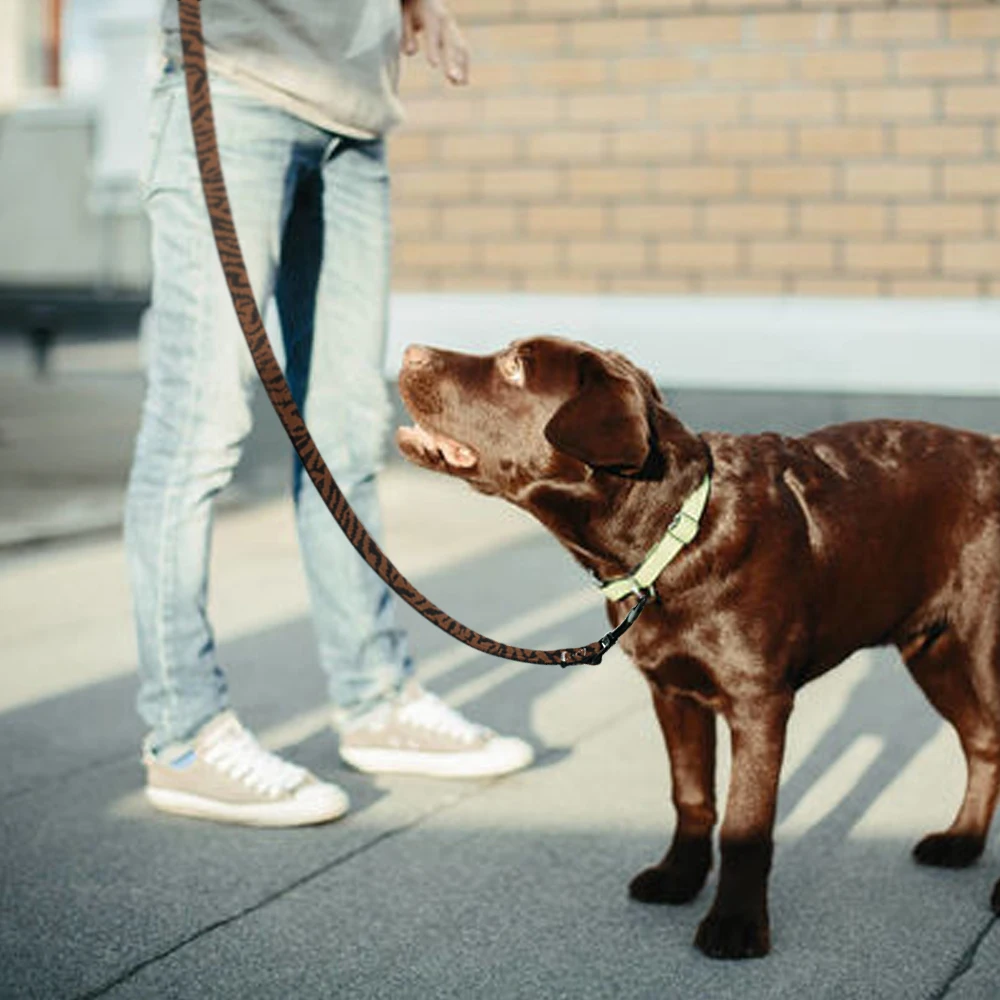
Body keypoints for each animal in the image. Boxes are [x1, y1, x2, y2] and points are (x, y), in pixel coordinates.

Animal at [396, 338, 1000, 960]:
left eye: (515, 367)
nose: (411, 351)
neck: (673, 533)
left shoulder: (759, 703)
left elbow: (745, 823)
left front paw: (736, 925)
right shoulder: (672, 690)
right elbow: (691, 794)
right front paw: (679, 878)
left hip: (981, 649)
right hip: (932, 651)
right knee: (983, 741)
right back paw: (961, 841)